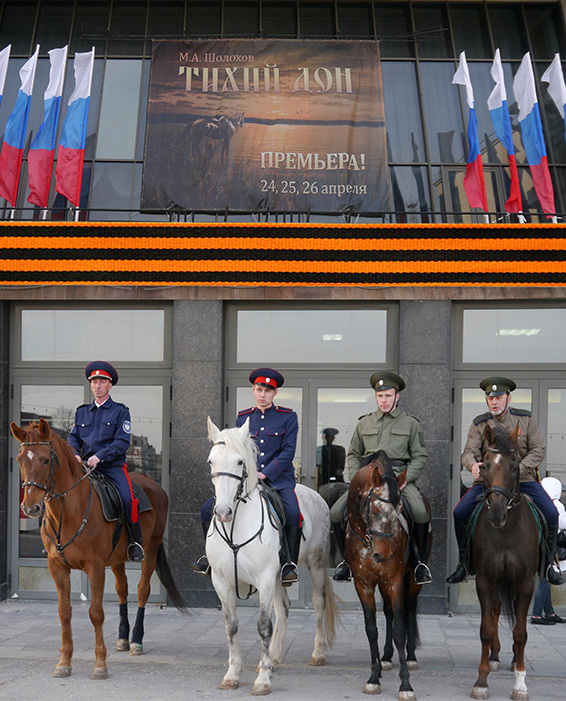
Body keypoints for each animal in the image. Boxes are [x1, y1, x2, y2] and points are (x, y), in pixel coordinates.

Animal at [10, 416, 189, 680]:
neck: (69, 511)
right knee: (123, 590)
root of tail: (150, 482)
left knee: (142, 590)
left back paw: (136, 641)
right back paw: (123, 639)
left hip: (150, 550)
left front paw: (100, 665)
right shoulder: (57, 567)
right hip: (116, 559)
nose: (30, 507)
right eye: (20, 459)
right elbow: (64, 612)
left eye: (45, 459)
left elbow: (96, 613)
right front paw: (64, 662)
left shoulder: (95, 567)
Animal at [206, 416, 340, 696]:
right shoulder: (221, 582)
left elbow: (263, 626)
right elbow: (231, 626)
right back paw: (276, 655)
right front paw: (233, 674)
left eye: (240, 461)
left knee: (318, 603)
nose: (222, 512)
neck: (236, 526)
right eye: (211, 461)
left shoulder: (265, 578)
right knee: (284, 607)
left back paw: (317, 653)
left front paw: (263, 680)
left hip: (315, 564)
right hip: (280, 576)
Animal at [346, 452, 430, 696]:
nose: (382, 554)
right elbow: (371, 629)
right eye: (374, 510)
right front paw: (374, 677)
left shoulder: (394, 581)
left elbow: (400, 631)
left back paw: (410, 656)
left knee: (409, 608)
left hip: (410, 581)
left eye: (400, 510)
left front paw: (406, 684)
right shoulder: (364, 584)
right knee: (389, 612)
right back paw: (385, 657)